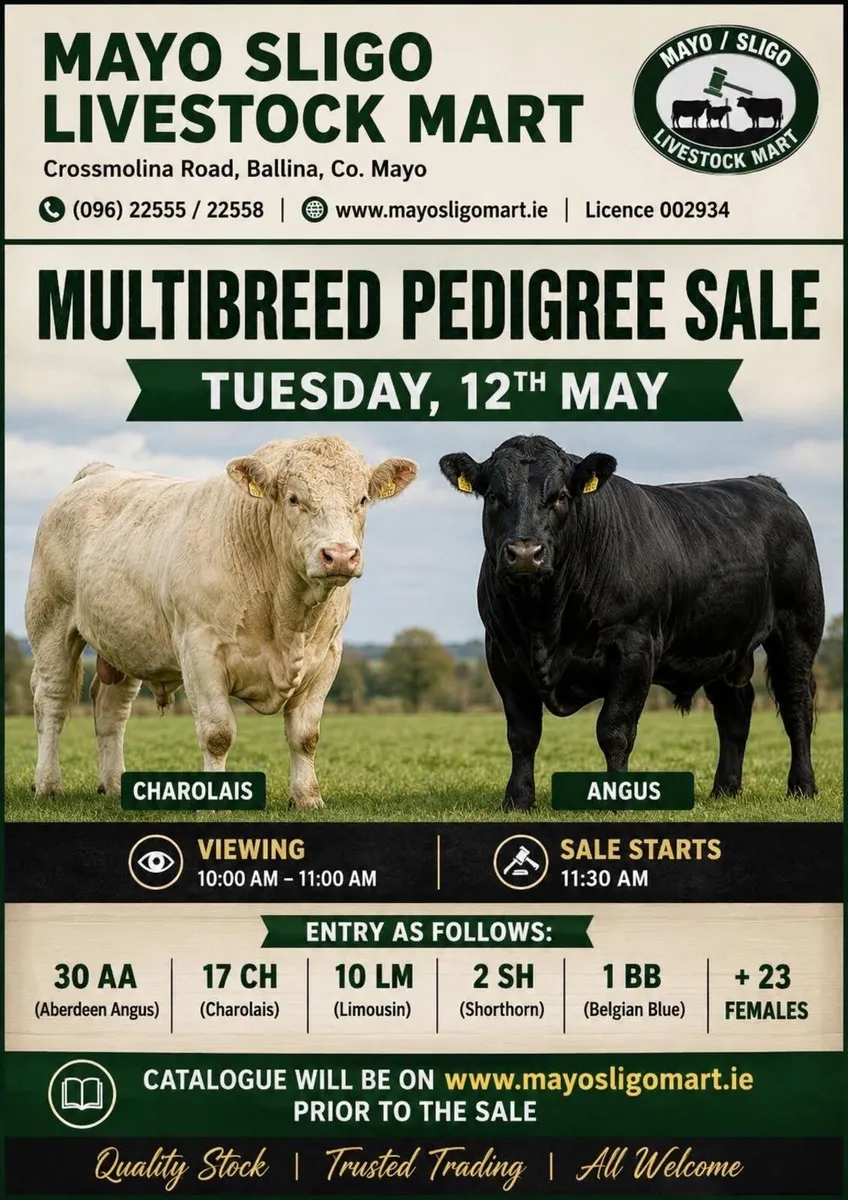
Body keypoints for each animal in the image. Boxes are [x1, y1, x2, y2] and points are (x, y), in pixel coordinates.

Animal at [25, 435, 418, 807]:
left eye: (363, 499)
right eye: (293, 498)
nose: (339, 555)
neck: (288, 617)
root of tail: (99, 471)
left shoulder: (326, 656)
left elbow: (305, 735)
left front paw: (307, 797)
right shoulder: (200, 650)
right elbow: (217, 733)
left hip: (126, 643)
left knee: (111, 708)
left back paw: (114, 785)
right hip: (50, 623)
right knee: (51, 701)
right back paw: (48, 785)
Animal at [440, 435, 823, 810]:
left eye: (561, 496)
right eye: (493, 496)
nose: (524, 554)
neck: (544, 622)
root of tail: (761, 482)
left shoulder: (635, 649)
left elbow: (614, 731)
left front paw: (617, 799)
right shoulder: (502, 654)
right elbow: (522, 734)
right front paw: (517, 800)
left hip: (797, 630)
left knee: (797, 706)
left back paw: (802, 787)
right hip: (720, 646)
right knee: (734, 714)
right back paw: (724, 790)